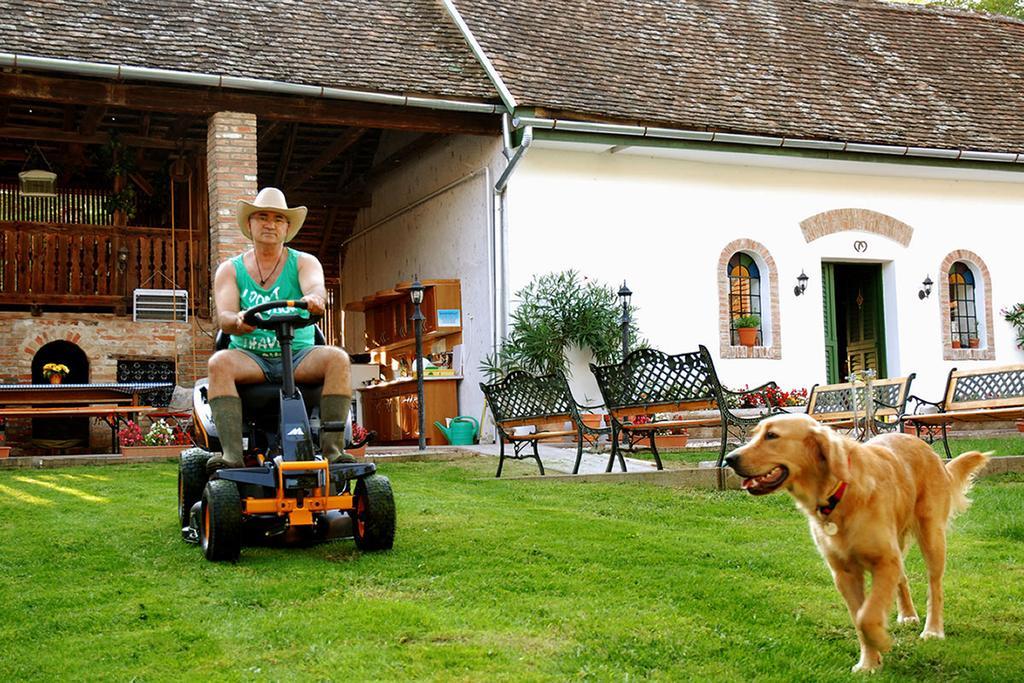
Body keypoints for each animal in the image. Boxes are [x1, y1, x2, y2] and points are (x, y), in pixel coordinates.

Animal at [724, 411, 987, 671]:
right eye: (754, 434)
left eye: (771, 435)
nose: (729, 459)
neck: (838, 492)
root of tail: (926, 448)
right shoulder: (845, 573)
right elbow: (859, 618)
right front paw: (869, 662)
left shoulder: (884, 561)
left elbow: (867, 616)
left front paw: (881, 640)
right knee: (903, 578)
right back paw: (907, 614)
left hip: (931, 536)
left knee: (935, 586)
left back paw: (932, 629)